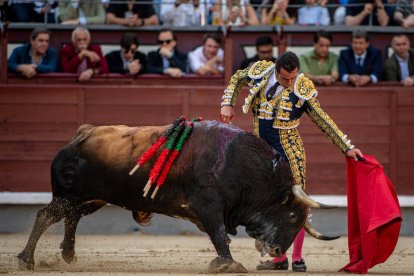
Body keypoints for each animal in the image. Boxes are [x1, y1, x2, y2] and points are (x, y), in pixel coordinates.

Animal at [17, 121, 338, 274]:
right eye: (292, 215)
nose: (276, 250)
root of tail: (80, 136)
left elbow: (219, 236)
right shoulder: (209, 206)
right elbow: (220, 235)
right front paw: (228, 264)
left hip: (93, 199)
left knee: (70, 218)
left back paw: (68, 254)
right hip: (70, 195)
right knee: (46, 215)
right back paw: (26, 260)